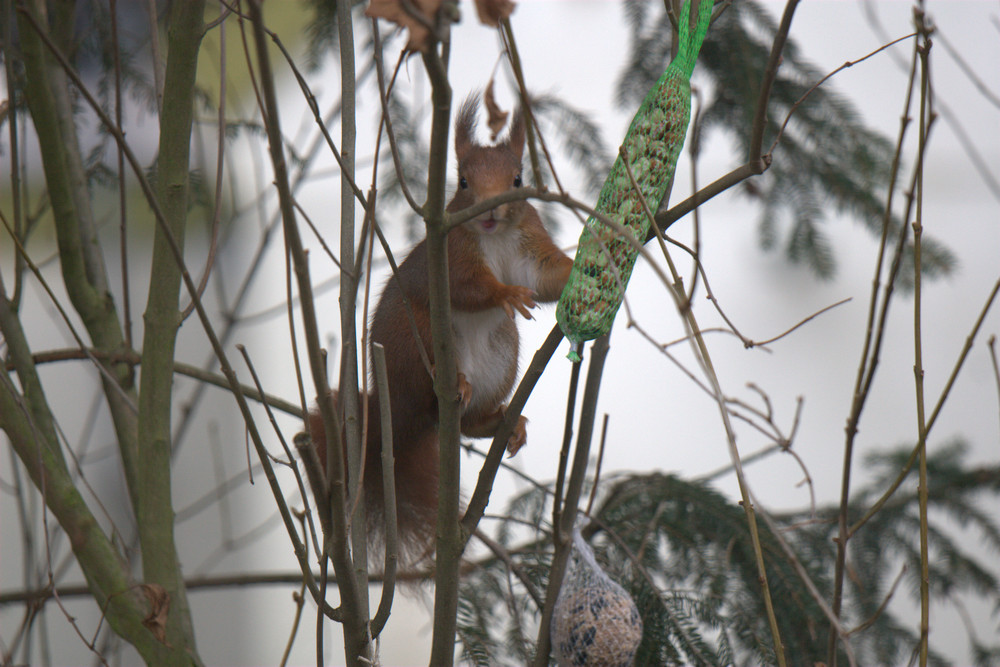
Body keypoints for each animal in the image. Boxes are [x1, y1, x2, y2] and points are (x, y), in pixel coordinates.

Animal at [308, 91, 572, 556]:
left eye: (518, 179)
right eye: (464, 182)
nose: (489, 211)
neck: (494, 236)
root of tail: (398, 415)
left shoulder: (529, 241)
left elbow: (546, 278)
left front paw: (594, 261)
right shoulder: (451, 256)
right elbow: (470, 287)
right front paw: (505, 294)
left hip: (501, 360)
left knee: (465, 425)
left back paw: (503, 423)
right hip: (418, 339)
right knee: (430, 398)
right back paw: (456, 386)